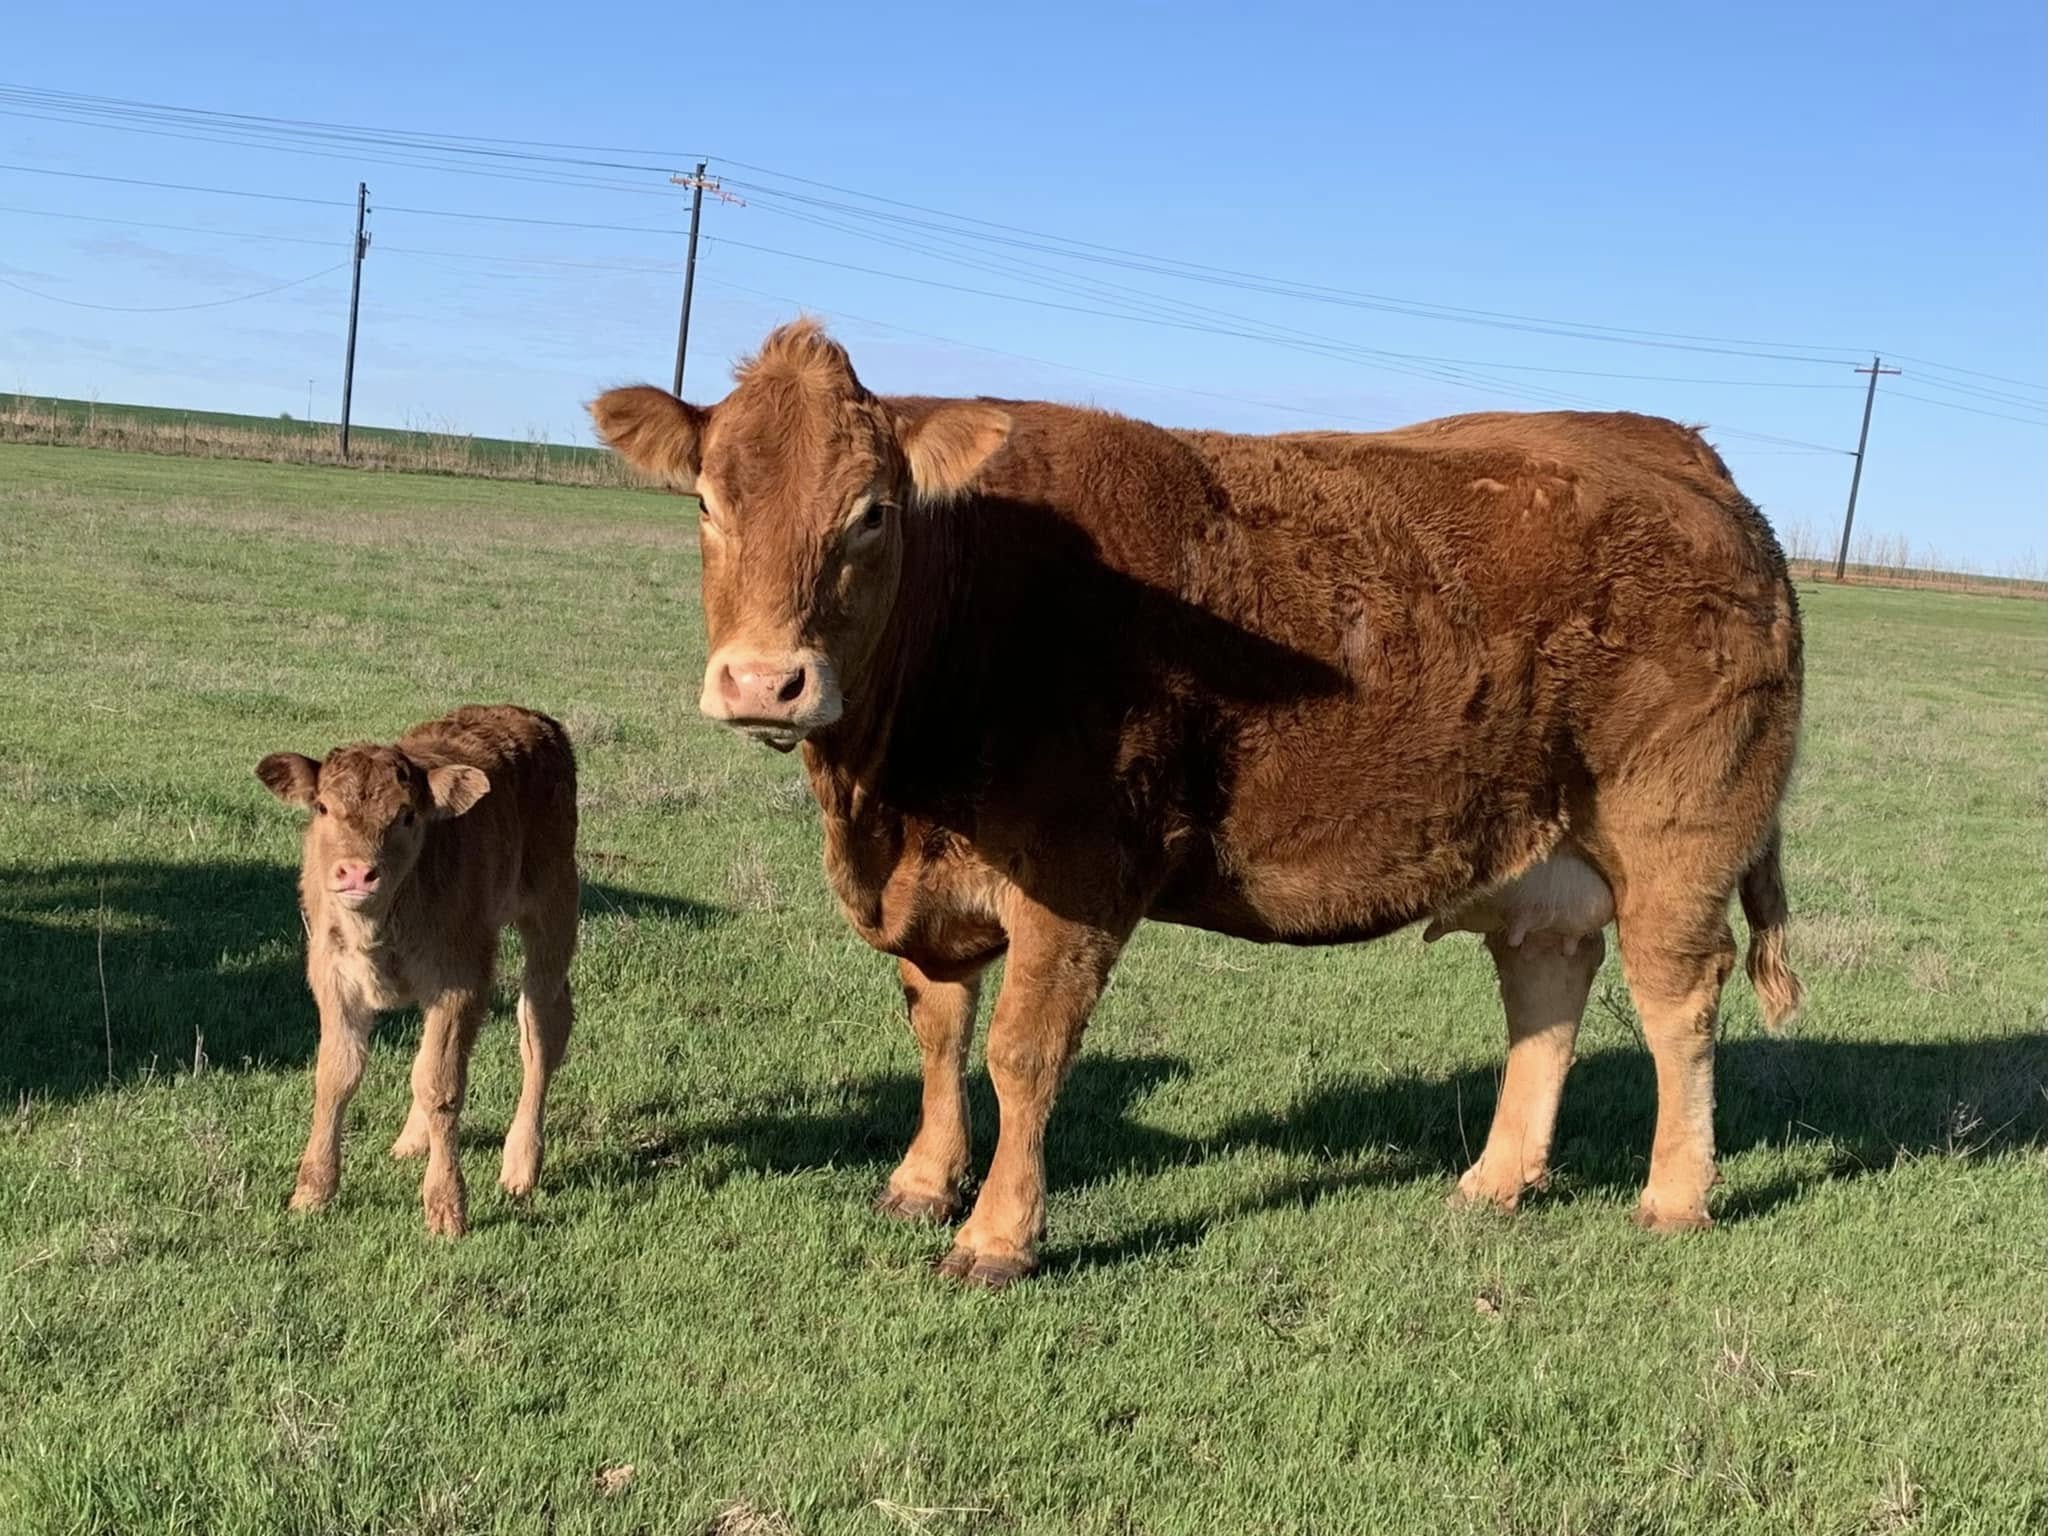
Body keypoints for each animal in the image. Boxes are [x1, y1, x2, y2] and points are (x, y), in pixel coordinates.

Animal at [256, 705, 579, 1237]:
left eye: (407, 815)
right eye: (322, 808)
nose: (356, 873)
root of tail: (529, 718)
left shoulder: (459, 979)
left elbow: (441, 1086)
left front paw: (446, 1207)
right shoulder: (333, 977)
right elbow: (338, 1076)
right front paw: (312, 1191)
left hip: (552, 913)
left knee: (540, 1032)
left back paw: (520, 1165)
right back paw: (413, 1140)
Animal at [590, 320, 1804, 1287]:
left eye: (872, 513)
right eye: (704, 501)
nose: (764, 682)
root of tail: (1687, 457)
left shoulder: (1075, 876)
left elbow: (1022, 1053)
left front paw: (996, 1238)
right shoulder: (934, 888)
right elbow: (937, 1027)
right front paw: (923, 1182)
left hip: (1678, 833)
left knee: (1677, 1001)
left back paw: (1674, 1197)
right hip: (1544, 846)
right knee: (1546, 986)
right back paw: (1494, 1180)